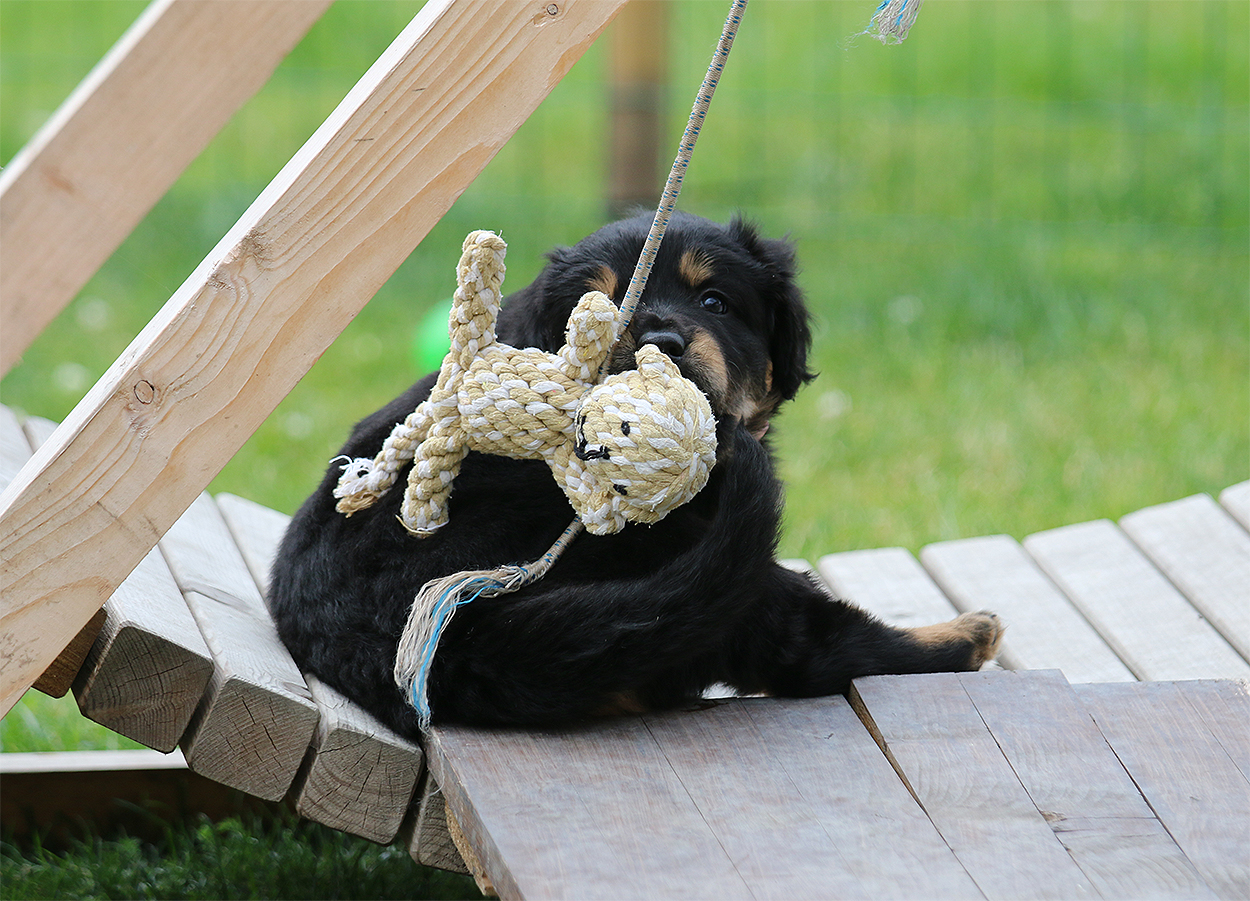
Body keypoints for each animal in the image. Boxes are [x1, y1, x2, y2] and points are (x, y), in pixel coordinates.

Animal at [268, 212, 1003, 737]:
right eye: (604, 305)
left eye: (715, 301)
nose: (660, 341)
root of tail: (449, 643)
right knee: (803, 640)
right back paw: (965, 634)